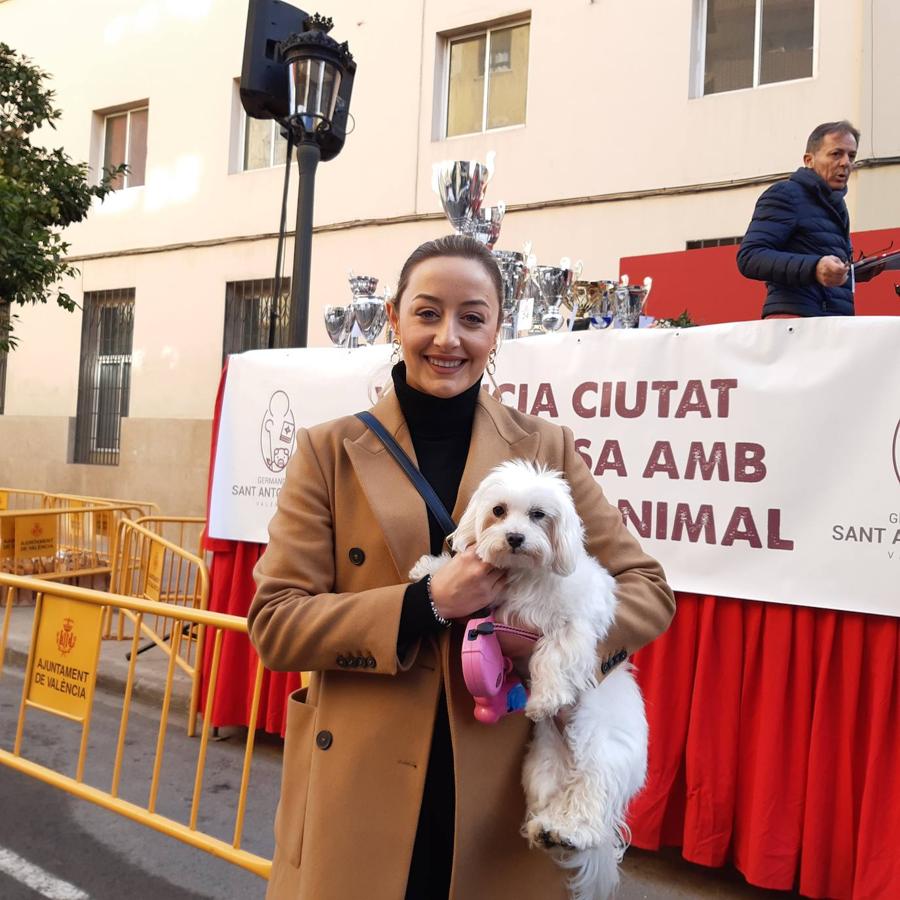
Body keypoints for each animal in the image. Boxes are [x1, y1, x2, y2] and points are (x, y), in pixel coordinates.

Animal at [412, 460, 652, 896]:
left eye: (539, 514)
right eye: (498, 511)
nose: (515, 537)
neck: (524, 576)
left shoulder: (574, 627)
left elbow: (552, 655)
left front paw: (545, 698)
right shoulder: (491, 604)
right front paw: (430, 570)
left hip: (597, 745)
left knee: (590, 796)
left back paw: (572, 830)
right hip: (544, 762)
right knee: (556, 793)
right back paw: (546, 829)